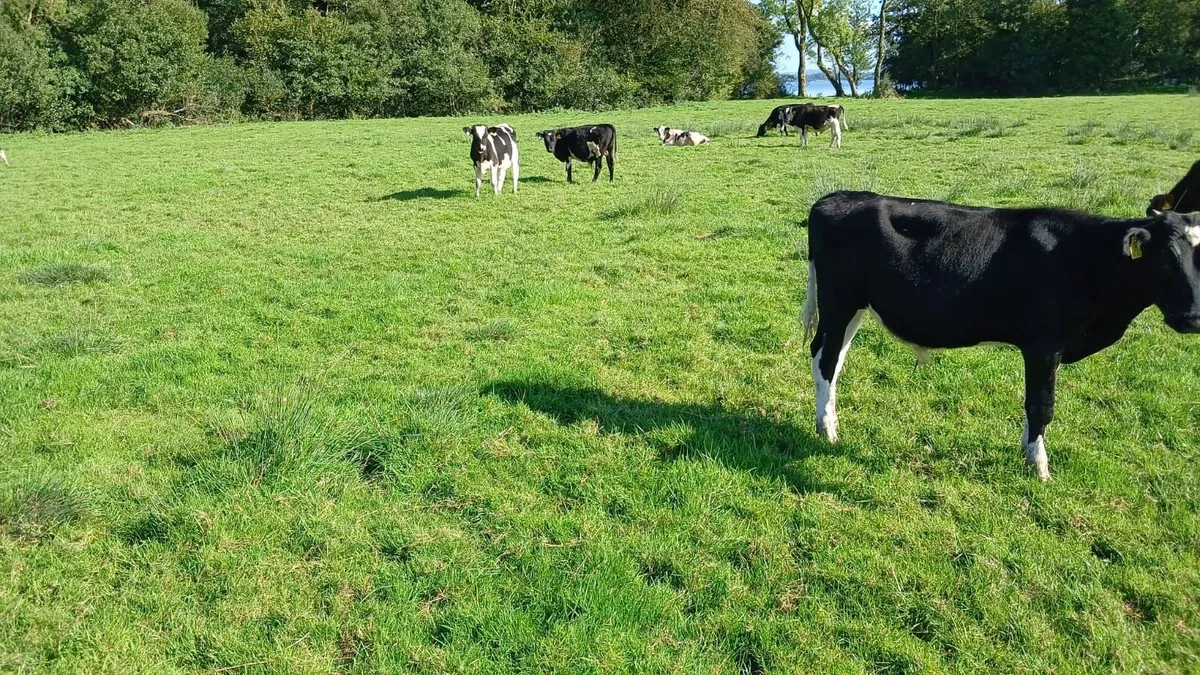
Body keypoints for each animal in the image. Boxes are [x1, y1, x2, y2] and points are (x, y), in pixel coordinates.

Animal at [800, 190, 1200, 481]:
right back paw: (828, 431)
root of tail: (836, 197)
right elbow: (1041, 405)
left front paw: (1027, 451)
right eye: (1165, 258)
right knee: (825, 358)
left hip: (856, 307)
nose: (1193, 318)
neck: (1087, 259)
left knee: (833, 359)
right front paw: (1039, 467)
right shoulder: (1043, 345)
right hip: (839, 301)